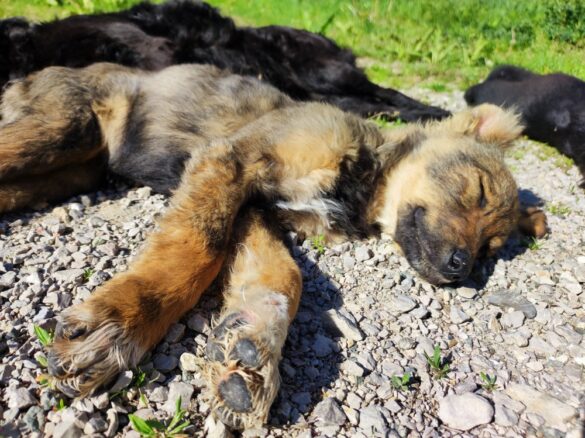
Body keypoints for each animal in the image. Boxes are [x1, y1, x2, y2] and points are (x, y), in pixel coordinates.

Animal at [0, 63, 546, 431]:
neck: (361, 181)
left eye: (490, 248)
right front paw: (125, 320)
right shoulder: (231, 162)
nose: (459, 268)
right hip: (58, 129)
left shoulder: (258, 208)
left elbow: (285, 275)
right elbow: (197, 246)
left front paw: (252, 346)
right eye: (475, 190)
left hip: (67, 170)